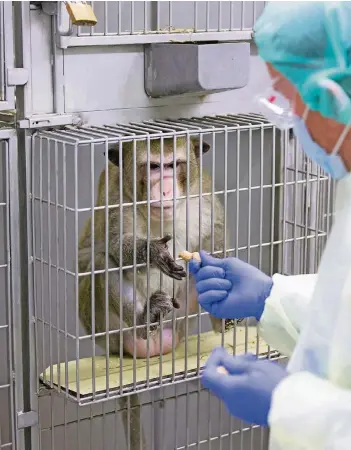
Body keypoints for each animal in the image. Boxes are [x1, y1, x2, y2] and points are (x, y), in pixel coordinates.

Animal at [78, 135, 227, 360]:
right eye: (154, 166)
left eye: (173, 164)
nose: (165, 190)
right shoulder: (117, 197)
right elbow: (117, 243)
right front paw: (154, 253)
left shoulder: (203, 191)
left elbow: (215, 233)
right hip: (108, 333)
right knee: (102, 262)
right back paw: (145, 319)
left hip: (181, 318)